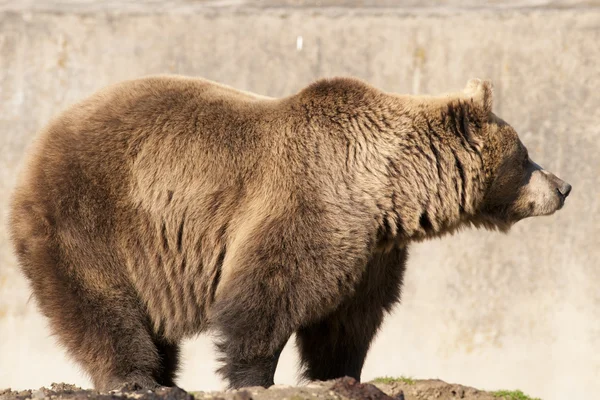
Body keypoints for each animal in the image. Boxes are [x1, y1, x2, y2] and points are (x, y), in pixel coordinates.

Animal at [10, 75, 572, 390]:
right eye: (525, 154)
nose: (563, 186)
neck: (389, 188)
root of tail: (37, 146)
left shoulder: (373, 249)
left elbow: (348, 319)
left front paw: (337, 374)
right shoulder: (310, 203)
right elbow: (269, 292)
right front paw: (254, 377)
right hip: (92, 217)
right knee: (102, 302)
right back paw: (136, 379)